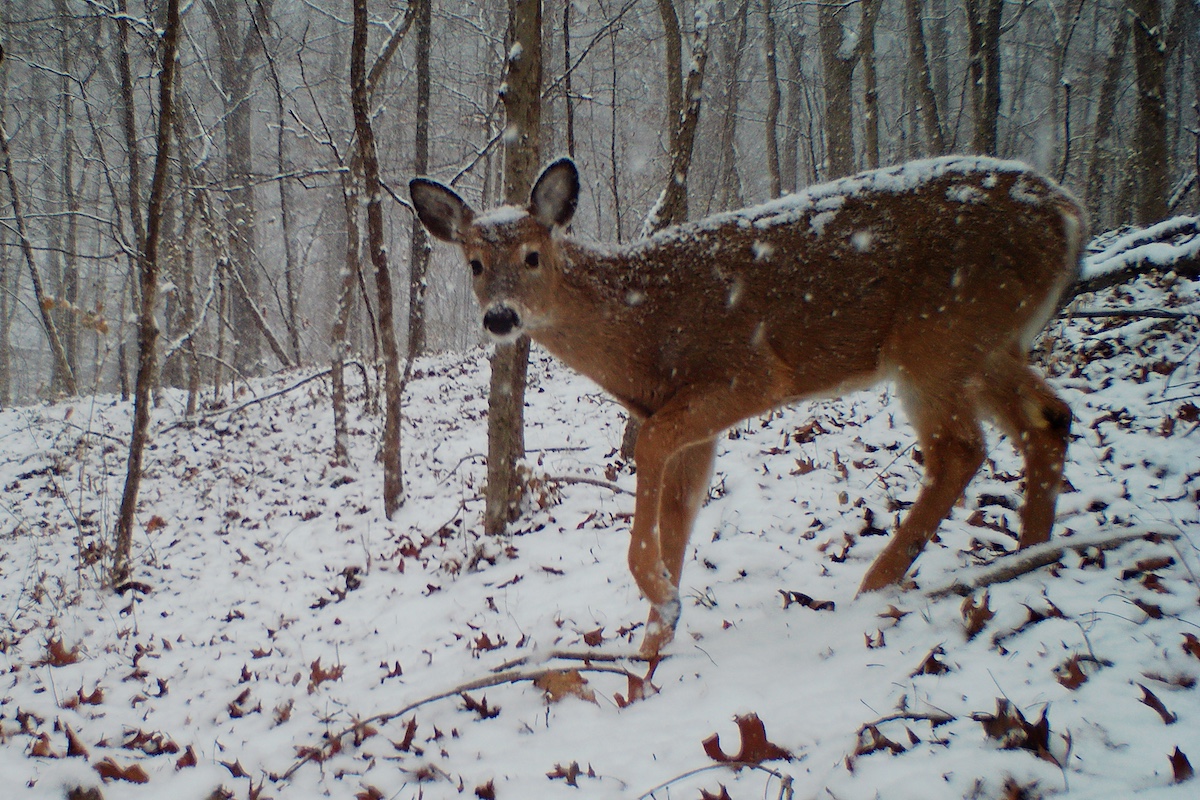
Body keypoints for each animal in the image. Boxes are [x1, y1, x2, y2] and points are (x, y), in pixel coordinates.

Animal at [410, 156, 1086, 656]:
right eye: (474, 263)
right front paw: (654, 644)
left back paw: (876, 585)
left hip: (937, 335)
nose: (500, 317)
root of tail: (1067, 210)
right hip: (988, 339)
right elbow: (679, 513)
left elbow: (650, 449)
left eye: (532, 256)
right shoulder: (692, 417)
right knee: (1048, 419)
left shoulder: (749, 372)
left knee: (960, 449)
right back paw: (1030, 557)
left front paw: (657, 597)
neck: (640, 332)